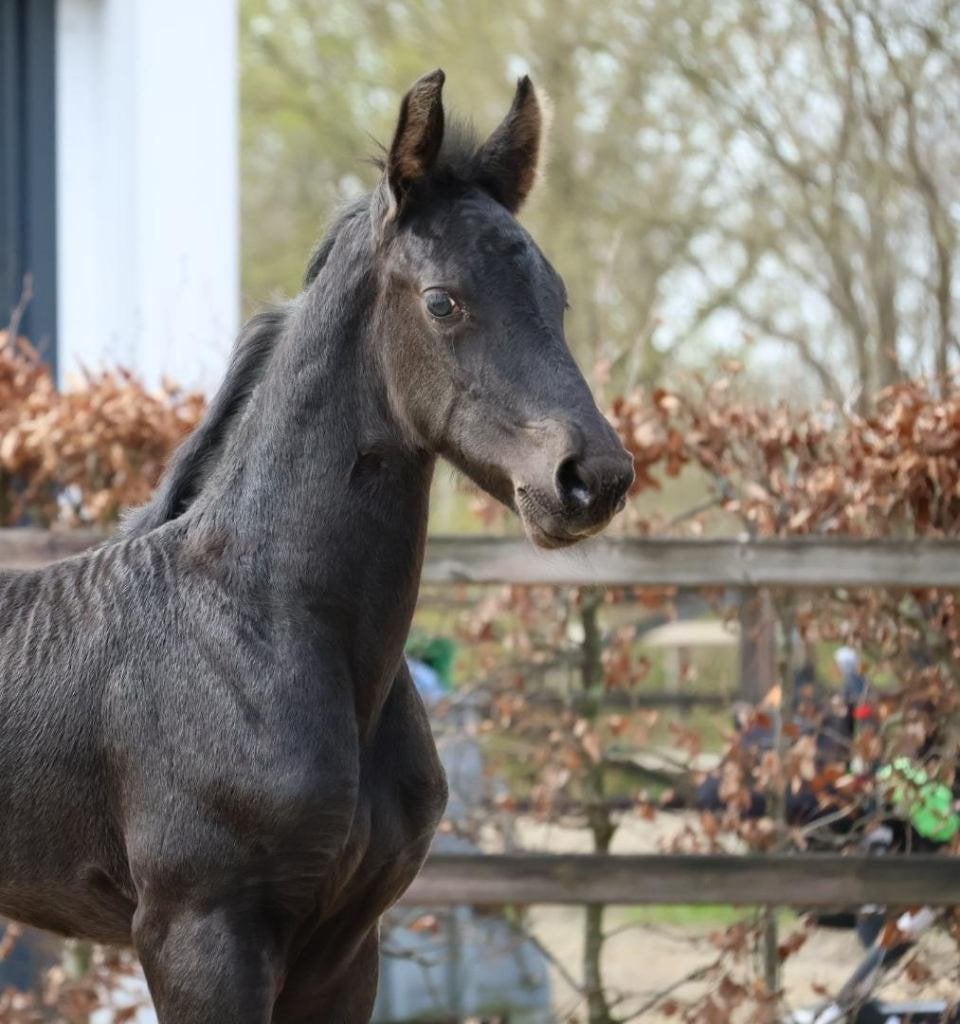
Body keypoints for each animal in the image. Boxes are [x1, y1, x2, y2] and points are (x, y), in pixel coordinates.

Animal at [0, 70, 634, 1023]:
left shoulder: (345, 948)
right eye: (443, 300)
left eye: (555, 297)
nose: (592, 477)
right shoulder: (199, 936)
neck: (259, 625)